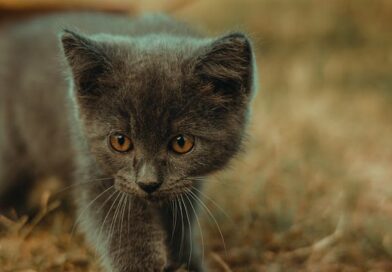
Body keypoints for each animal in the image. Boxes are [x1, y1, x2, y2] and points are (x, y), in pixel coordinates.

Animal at [0, 12, 256, 272]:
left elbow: (179, 224)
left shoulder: (187, 183)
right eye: (120, 141)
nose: (148, 183)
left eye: (182, 142)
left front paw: (187, 263)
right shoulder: (98, 172)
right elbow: (124, 229)